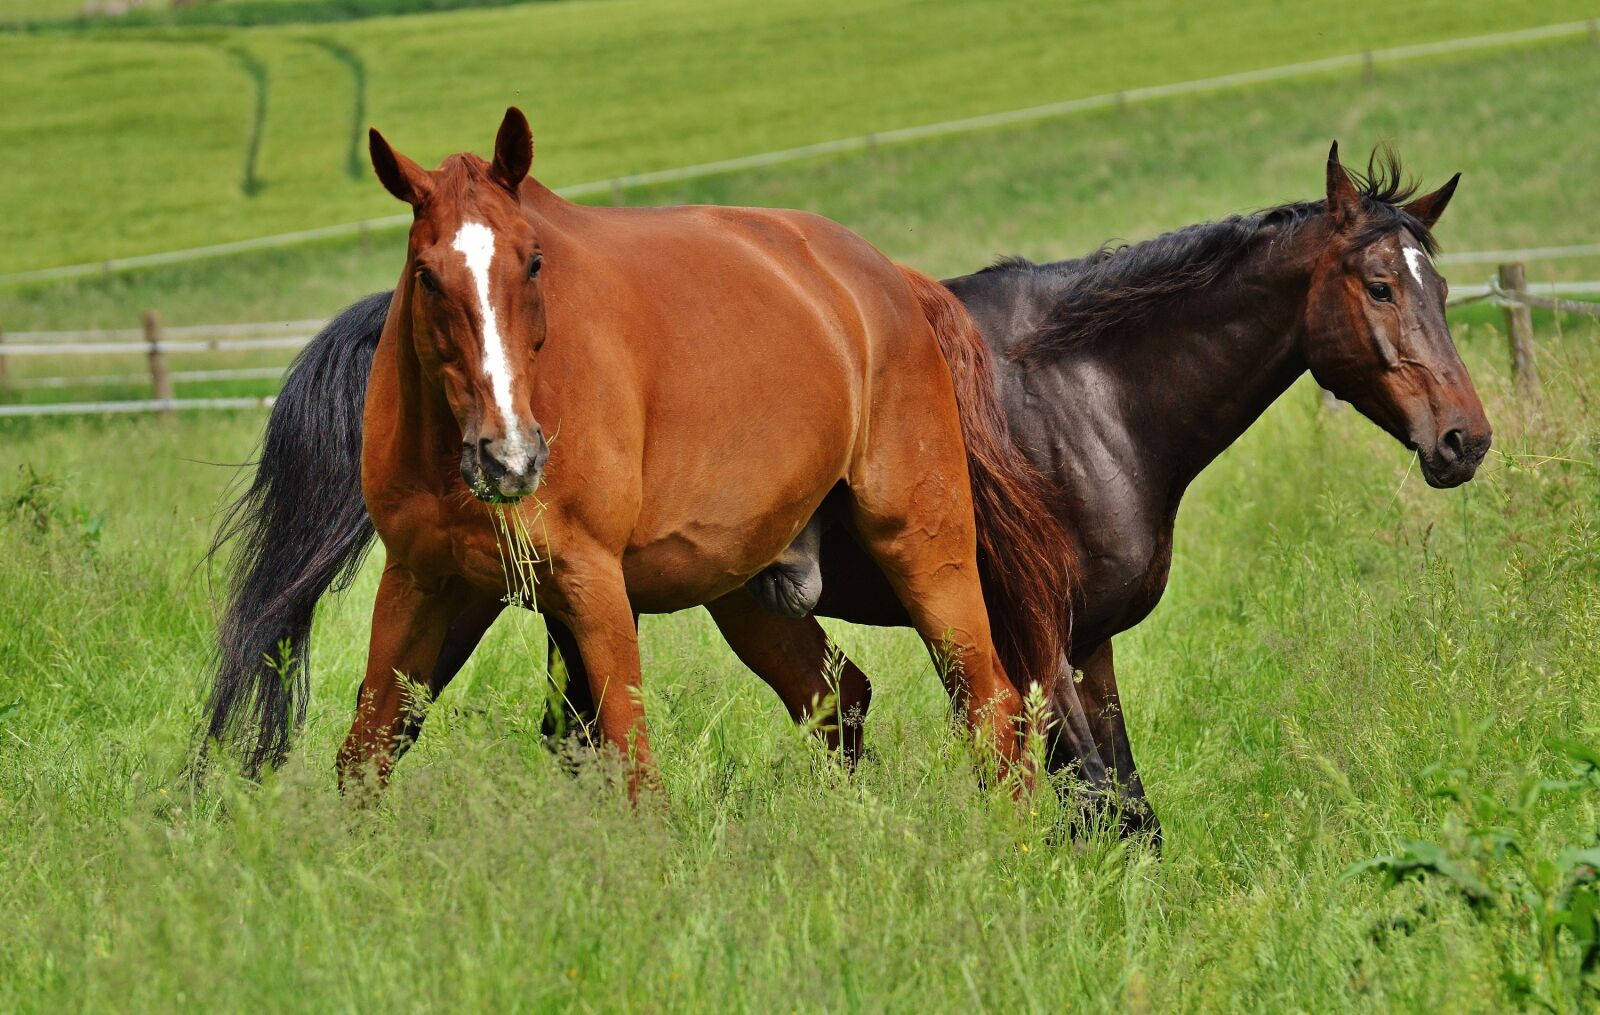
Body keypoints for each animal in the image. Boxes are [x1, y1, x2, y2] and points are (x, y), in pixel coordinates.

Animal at [201, 108, 1079, 795]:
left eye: (534, 260)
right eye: (426, 275)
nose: (510, 458)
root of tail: (888, 279)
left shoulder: (592, 586)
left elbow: (632, 771)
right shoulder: (422, 582)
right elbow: (366, 753)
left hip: (925, 545)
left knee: (993, 707)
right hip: (749, 588)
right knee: (838, 701)